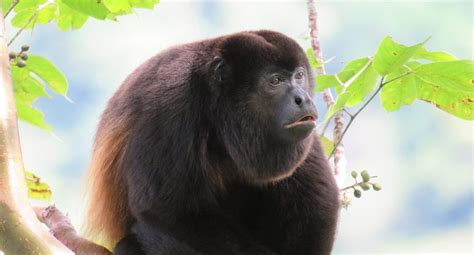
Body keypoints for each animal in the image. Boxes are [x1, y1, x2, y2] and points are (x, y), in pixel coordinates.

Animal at [84, 30, 336, 255]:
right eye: (275, 81)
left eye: (299, 75)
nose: (303, 98)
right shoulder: (168, 104)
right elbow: (164, 208)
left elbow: (318, 199)